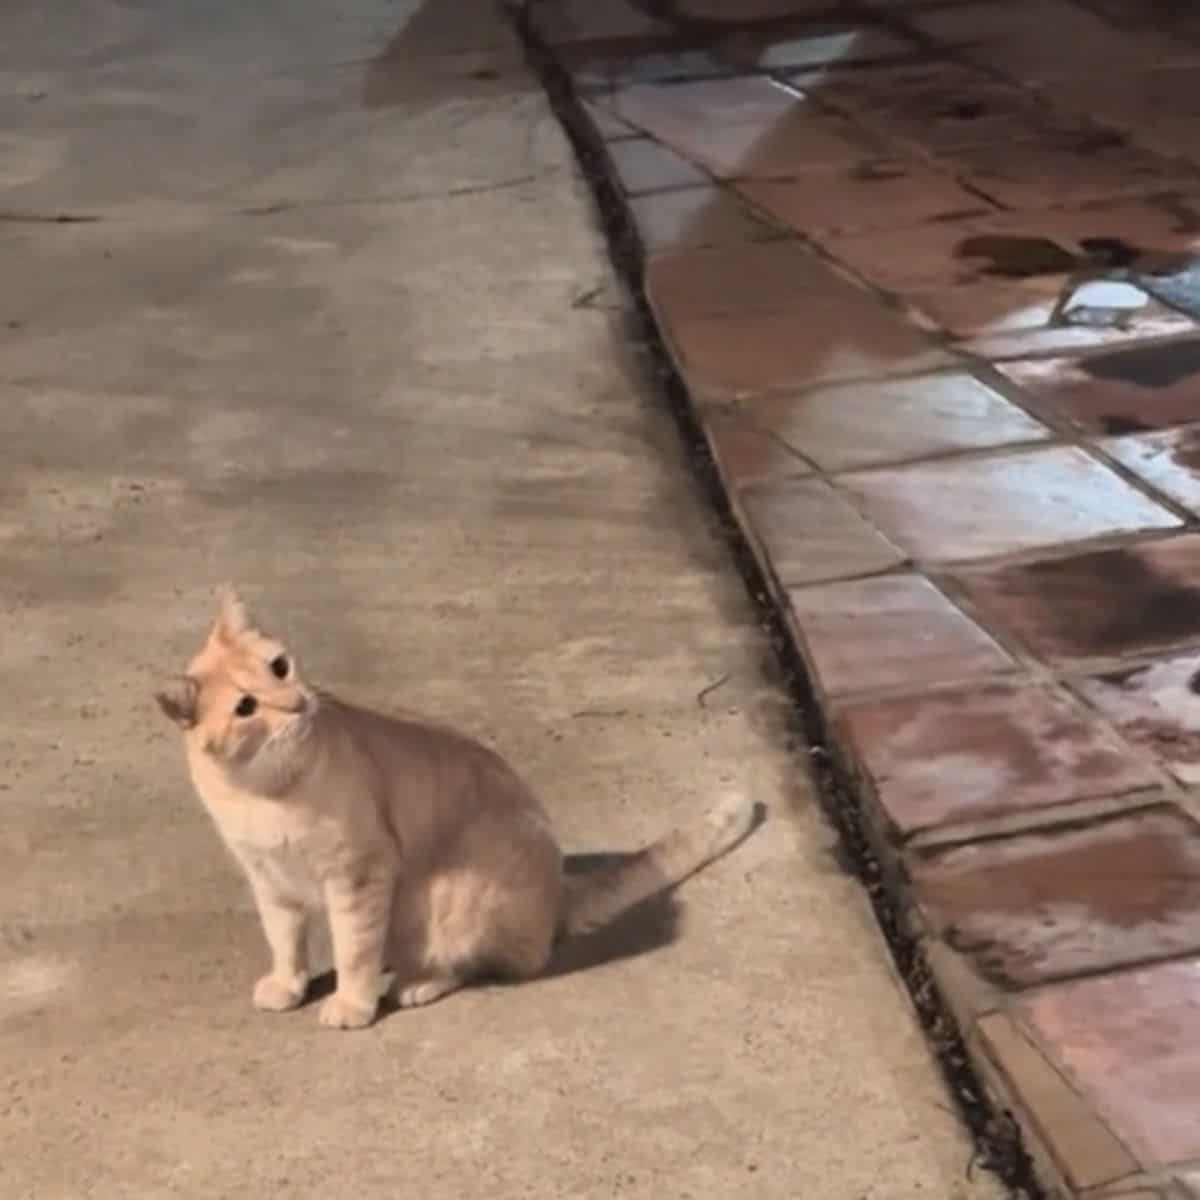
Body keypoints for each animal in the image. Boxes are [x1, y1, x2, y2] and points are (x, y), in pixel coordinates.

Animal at [157, 585, 758, 1027]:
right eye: (246, 707)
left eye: (280, 667)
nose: (297, 704)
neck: (263, 790)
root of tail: (557, 891)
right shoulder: (270, 881)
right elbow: (284, 941)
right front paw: (288, 985)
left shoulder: (360, 876)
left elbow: (353, 949)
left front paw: (351, 1002)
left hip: (448, 891)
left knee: (483, 963)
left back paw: (417, 981)